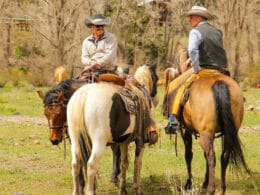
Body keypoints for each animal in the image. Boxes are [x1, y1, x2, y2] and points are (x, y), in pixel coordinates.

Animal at [67, 63, 158, 193]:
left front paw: (123, 190)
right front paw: (137, 189)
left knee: (75, 164)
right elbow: (137, 163)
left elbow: (124, 163)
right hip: (99, 142)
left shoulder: (124, 141)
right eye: (156, 78)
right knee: (91, 165)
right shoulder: (140, 141)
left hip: (75, 140)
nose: (156, 98)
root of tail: (84, 95)